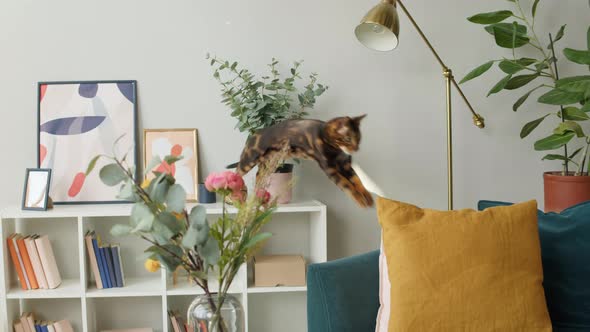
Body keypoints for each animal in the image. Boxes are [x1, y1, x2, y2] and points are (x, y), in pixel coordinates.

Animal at [234, 114, 372, 208]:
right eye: (348, 139)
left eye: (359, 138)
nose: (357, 148)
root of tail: (253, 135)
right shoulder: (329, 169)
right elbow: (346, 184)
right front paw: (360, 200)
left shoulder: (346, 165)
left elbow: (358, 180)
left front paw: (367, 197)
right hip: (249, 160)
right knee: (237, 172)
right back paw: (235, 196)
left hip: (269, 164)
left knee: (259, 177)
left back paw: (259, 201)